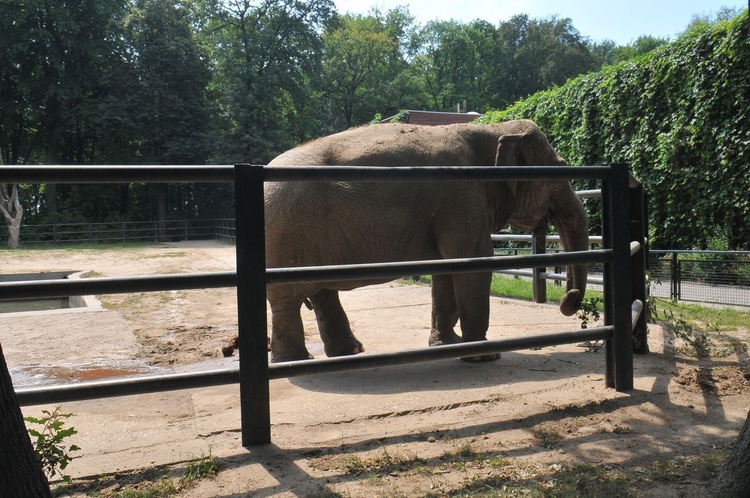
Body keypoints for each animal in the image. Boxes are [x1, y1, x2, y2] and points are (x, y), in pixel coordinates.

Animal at [253, 119, 588, 362]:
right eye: (560, 170)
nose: (569, 300)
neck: (494, 130)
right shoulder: (461, 196)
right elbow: (474, 258)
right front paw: (485, 356)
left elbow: (446, 266)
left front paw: (447, 346)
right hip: (289, 236)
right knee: (287, 299)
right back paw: (295, 362)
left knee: (321, 294)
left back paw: (349, 353)